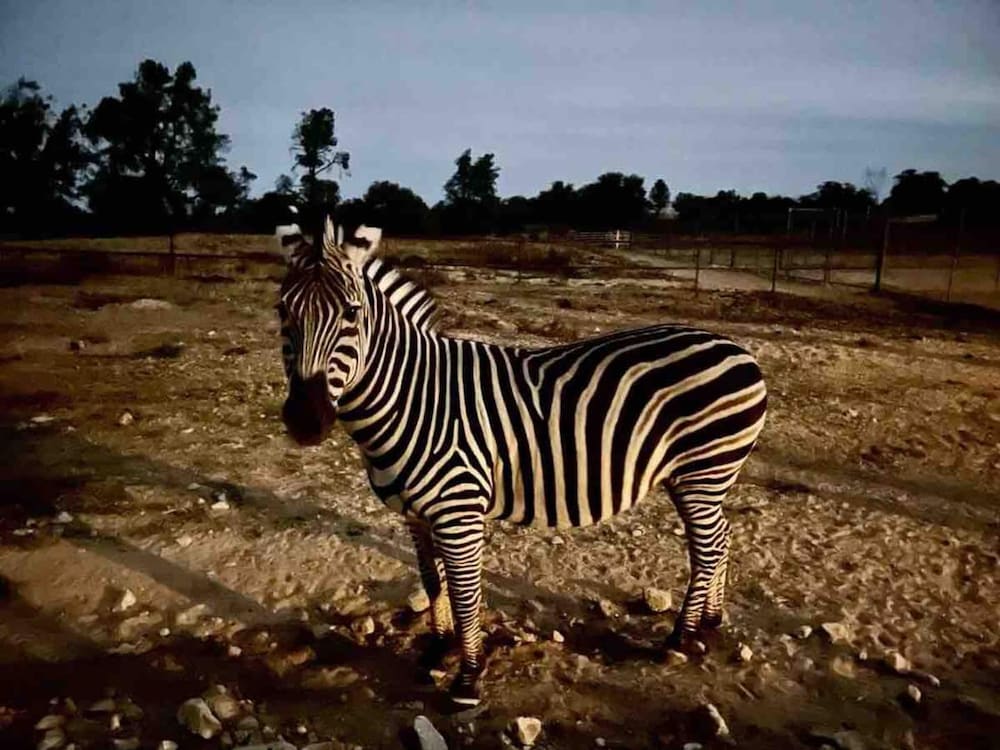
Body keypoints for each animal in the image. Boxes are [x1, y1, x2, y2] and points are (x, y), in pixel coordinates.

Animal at [276, 216, 767, 706]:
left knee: (707, 548)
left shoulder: (459, 510)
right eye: (282, 311)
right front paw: (438, 648)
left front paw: (468, 679)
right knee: (720, 537)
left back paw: (680, 637)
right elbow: (434, 582)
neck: (414, 399)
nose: (305, 421)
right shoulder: (416, 514)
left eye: (352, 313)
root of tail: (737, 348)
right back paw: (709, 622)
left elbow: (465, 593)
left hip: (703, 471)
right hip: (695, 477)